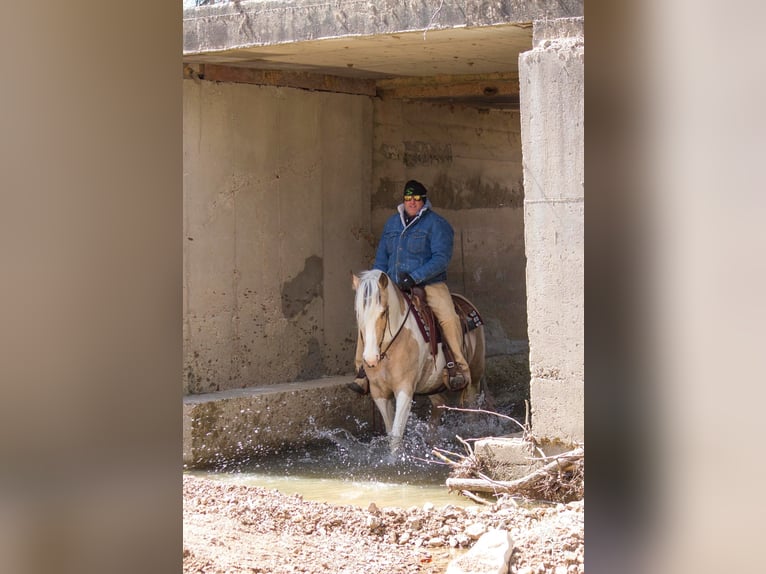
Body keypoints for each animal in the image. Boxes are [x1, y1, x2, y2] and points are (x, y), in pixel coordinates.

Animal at [352, 270, 486, 454]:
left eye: (383, 312)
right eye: (358, 313)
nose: (371, 358)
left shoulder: (405, 389)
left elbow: (396, 435)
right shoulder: (378, 392)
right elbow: (390, 432)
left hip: (474, 376)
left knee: (472, 409)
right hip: (433, 381)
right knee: (439, 403)